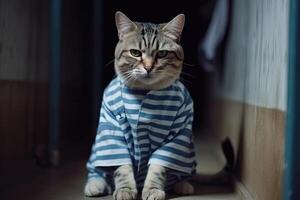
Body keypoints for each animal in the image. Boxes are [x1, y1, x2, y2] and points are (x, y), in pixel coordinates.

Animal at [84, 11, 197, 199]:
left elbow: (158, 167)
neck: (144, 92)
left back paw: (183, 185)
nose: (148, 67)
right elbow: (122, 167)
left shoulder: (176, 135)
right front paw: (125, 189)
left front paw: (152, 189)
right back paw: (95, 184)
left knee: (183, 172)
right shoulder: (113, 132)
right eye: (135, 53)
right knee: (97, 170)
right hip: (99, 150)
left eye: (162, 53)